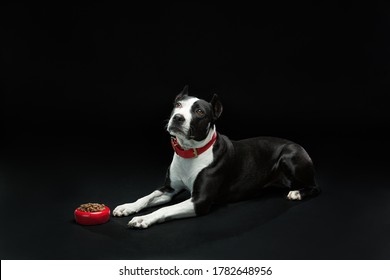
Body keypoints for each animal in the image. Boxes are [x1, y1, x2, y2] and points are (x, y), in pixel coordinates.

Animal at [112, 86, 320, 229]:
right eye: (178, 105)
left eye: (199, 112)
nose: (178, 118)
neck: (190, 152)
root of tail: (298, 145)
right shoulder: (169, 189)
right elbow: (146, 197)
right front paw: (128, 207)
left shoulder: (199, 201)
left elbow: (164, 209)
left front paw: (143, 218)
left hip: (290, 156)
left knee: (315, 187)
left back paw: (297, 193)